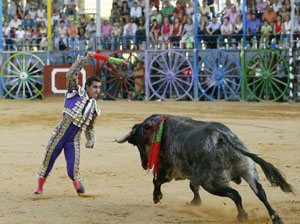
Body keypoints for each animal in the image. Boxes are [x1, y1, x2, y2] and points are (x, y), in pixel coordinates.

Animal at [115, 114, 292, 223]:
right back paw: (276, 217)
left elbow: (157, 181)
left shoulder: (165, 168)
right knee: (260, 193)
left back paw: (242, 216)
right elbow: (193, 186)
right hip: (248, 170)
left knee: (235, 194)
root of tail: (221, 135)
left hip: (212, 183)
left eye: (137, 143)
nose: (144, 164)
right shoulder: (189, 173)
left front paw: (157, 197)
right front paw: (195, 202)